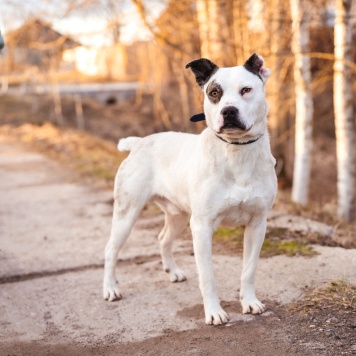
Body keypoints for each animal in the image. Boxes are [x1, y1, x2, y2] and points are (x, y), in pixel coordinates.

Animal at [103, 53, 278, 326]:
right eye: (214, 92)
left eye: (246, 90)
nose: (229, 111)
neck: (236, 152)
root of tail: (139, 142)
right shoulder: (202, 227)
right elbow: (208, 276)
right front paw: (214, 312)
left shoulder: (257, 224)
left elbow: (248, 270)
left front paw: (249, 302)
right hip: (126, 213)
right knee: (111, 249)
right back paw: (111, 289)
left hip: (178, 215)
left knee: (163, 238)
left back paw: (173, 271)